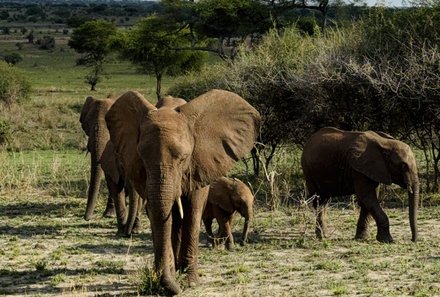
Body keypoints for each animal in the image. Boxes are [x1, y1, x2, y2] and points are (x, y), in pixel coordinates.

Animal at [105, 89, 260, 292]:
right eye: (142, 157)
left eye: (183, 158)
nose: (175, 289)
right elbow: (159, 215)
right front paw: (170, 277)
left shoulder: (200, 164)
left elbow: (193, 212)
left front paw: (189, 281)